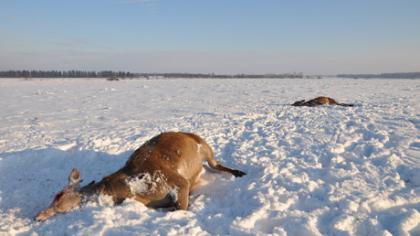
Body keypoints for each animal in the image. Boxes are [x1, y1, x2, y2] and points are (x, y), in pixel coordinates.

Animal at [37, 132, 246, 220]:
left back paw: (239, 172)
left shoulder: (177, 181)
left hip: (205, 146)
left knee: (215, 164)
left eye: (58, 196)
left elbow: (181, 207)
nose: (38, 215)